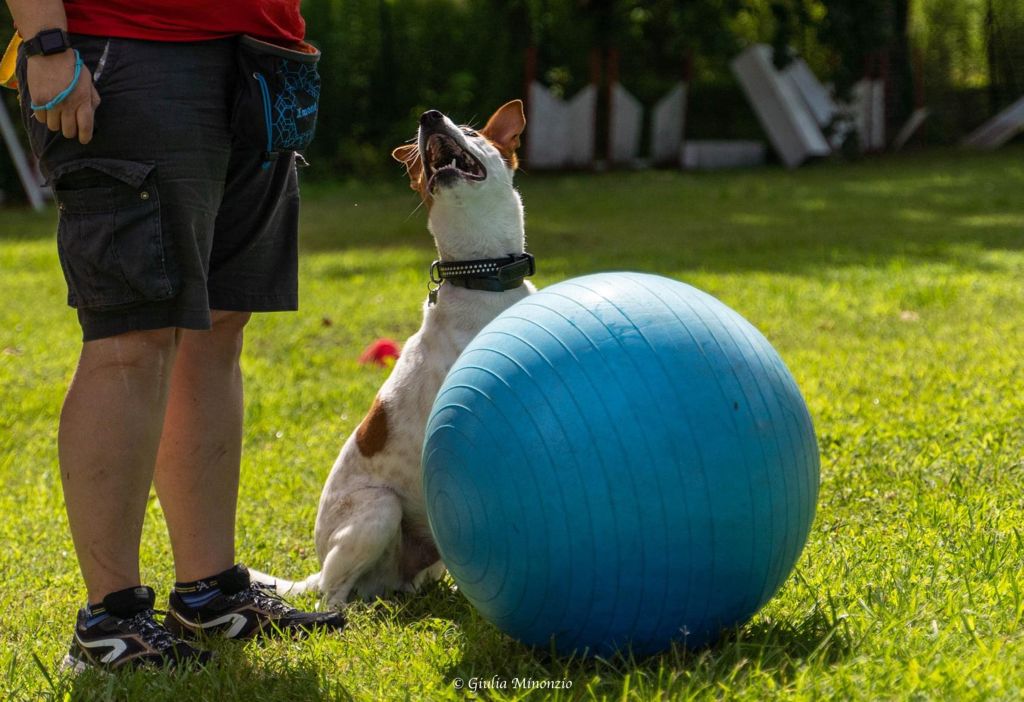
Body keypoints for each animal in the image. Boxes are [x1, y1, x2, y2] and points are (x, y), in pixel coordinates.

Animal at [258, 100, 536, 609]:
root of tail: (319, 565)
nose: (429, 117)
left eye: (472, 132)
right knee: (331, 595)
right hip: (380, 510)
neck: (483, 277)